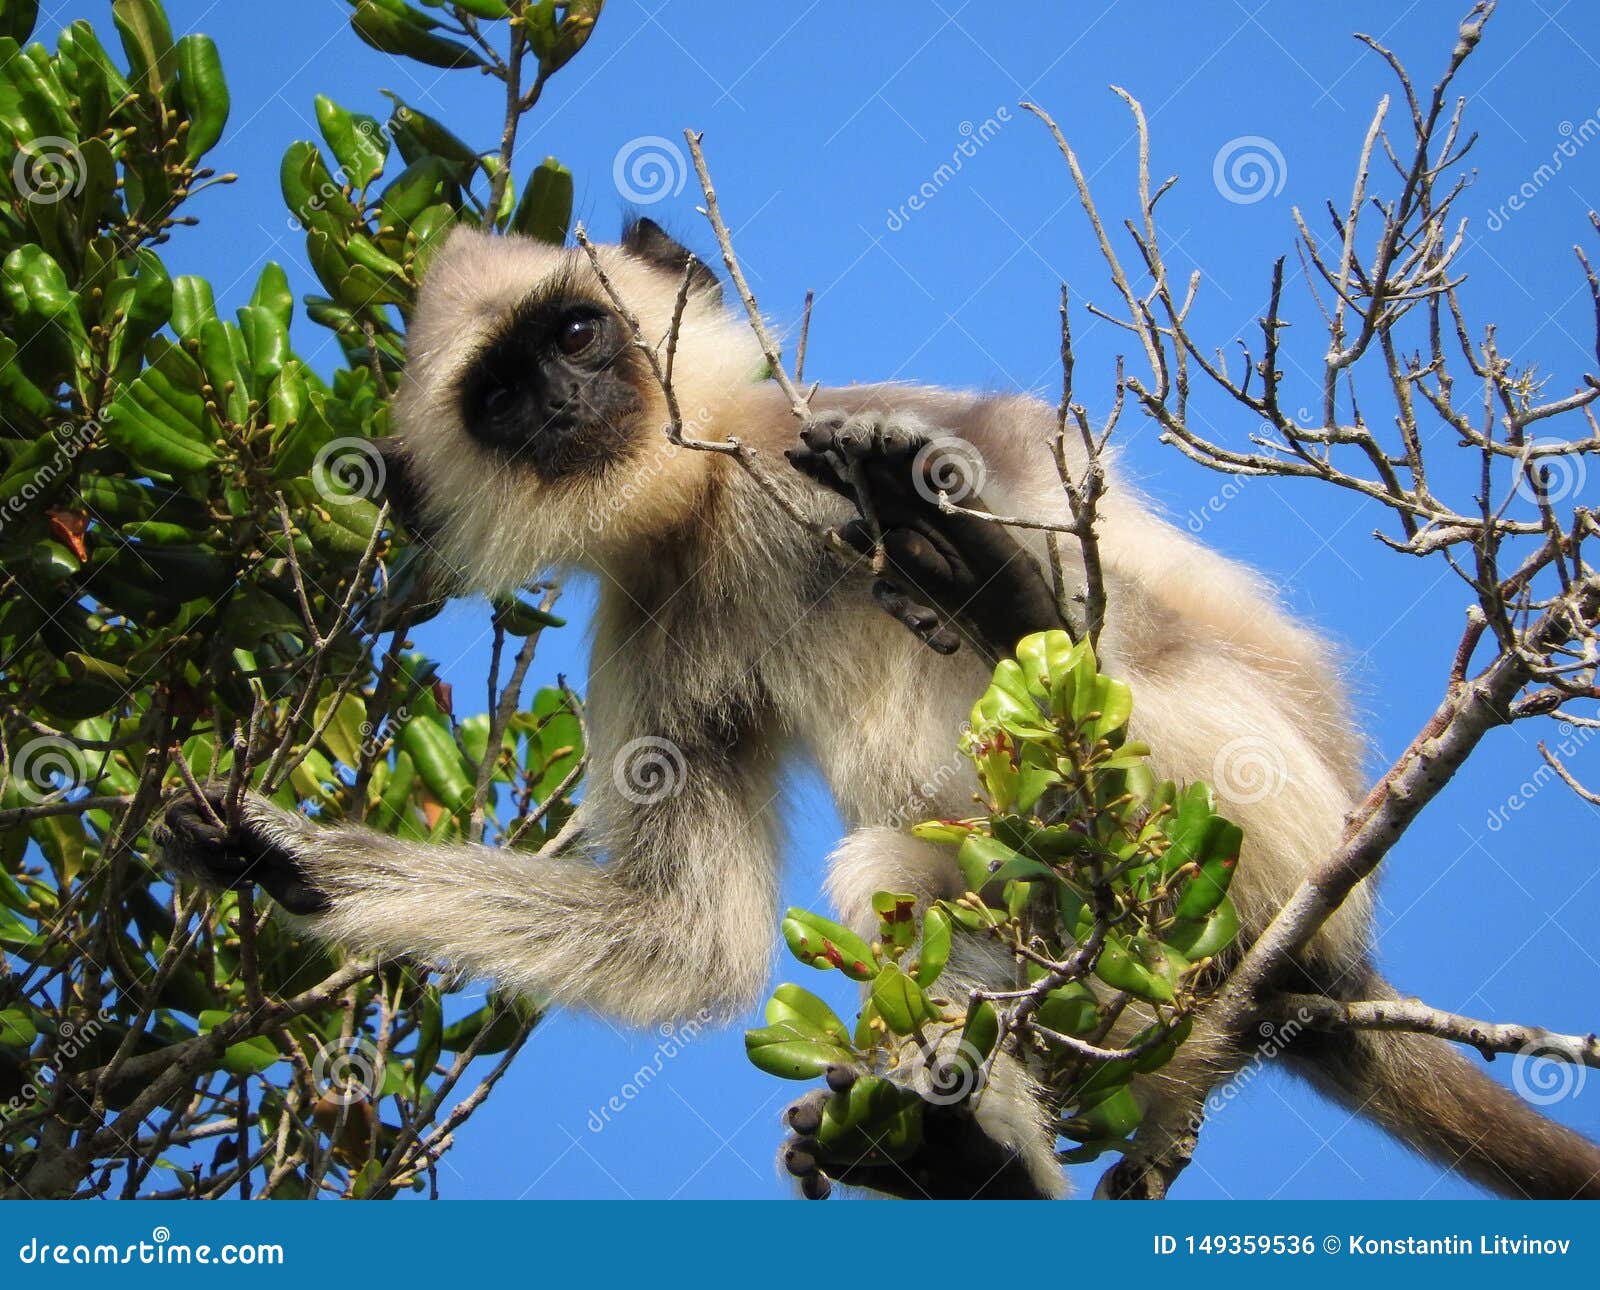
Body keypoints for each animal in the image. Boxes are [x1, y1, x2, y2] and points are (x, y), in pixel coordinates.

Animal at [159, 219, 1600, 1203]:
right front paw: (279, 856)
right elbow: (686, 940)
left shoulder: (847, 424)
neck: (713, 502)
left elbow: (1200, 634)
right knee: (904, 881)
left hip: (1264, 822)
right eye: (502, 394)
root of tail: (1341, 960)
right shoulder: (651, 612)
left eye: (573, 334)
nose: (567, 397)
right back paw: (966, 1156)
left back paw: (989, 587)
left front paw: (984, 570)